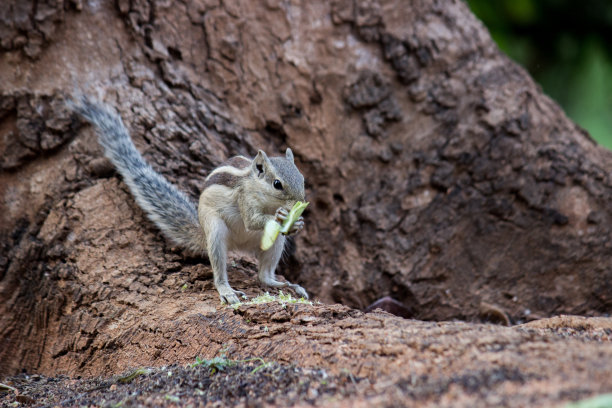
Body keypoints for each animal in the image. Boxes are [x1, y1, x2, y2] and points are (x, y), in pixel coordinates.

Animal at [71, 97, 308, 304]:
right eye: (277, 184)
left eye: (302, 178)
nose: (299, 203)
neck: (263, 195)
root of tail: (238, 245)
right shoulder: (245, 198)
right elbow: (252, 220)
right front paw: (280, 216)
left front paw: (297, 223)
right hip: (215, 233)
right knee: (220, 270)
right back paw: (227, 291)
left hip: (275, 241)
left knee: (263, 275)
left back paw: (284, 285)